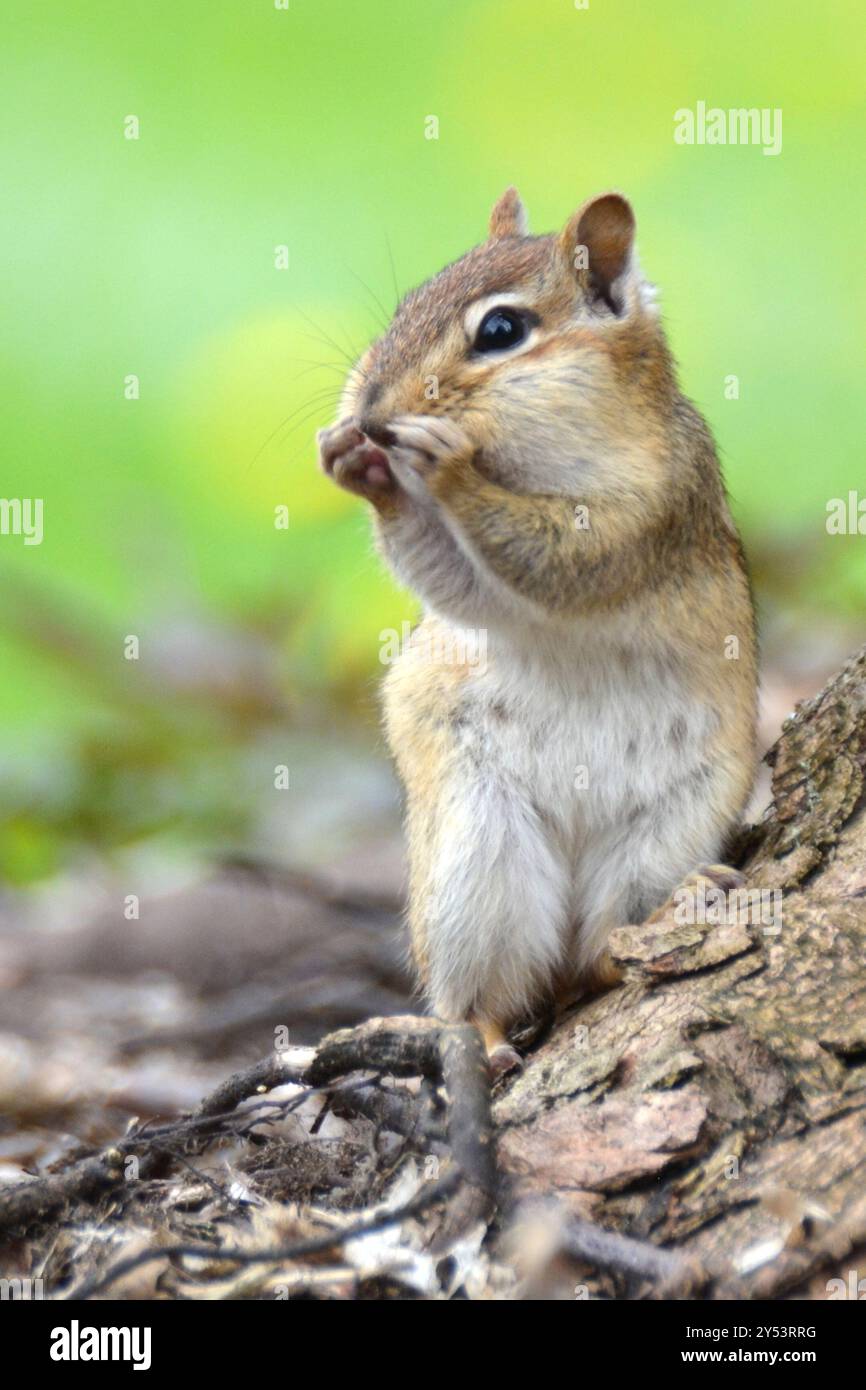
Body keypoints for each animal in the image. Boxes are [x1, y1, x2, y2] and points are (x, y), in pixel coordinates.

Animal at [318, 187, 757, 1075]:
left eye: (500, 330)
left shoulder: (652, 508)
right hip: (476, 858)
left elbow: (559, 559)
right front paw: (364, 469)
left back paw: (673, 908)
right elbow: (455, 580)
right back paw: (486, 1039)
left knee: (600, 953)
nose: (372, 412)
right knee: (496, 991)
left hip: (669, 828)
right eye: (404, 307)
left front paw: (446, 469)